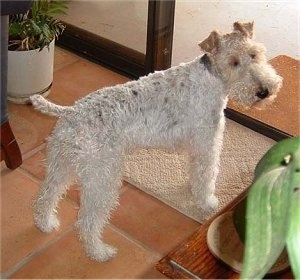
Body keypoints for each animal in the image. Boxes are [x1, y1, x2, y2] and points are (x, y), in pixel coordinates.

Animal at [29, 22, 282, 262]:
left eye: (254, 54)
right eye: (233, 62)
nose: (263, 91)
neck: (212, 78)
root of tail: (72, 112)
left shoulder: (198, 145)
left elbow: (196, 173)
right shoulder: (208, 143)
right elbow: (206, 176)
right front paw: (208, 202)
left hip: (62, 165)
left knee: (46, 196)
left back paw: (46, 224)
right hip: (102, 178)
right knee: (87, 222)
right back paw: (100, 252)